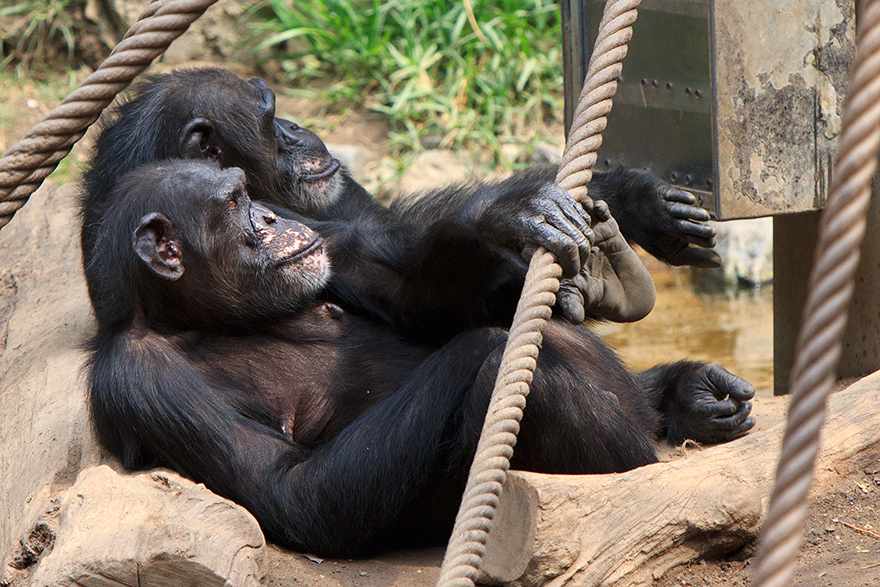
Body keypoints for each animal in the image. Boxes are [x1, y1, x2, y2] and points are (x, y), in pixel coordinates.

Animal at [84, 160, 756, 556]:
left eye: (247, 194)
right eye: (230, 206)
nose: (270, 216)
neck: (207, 318)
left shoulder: (326, 241)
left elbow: (409, 289)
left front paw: (519, 211)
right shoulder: (141, 382)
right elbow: (289, 490)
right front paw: (485, 352)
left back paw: (661, 363)